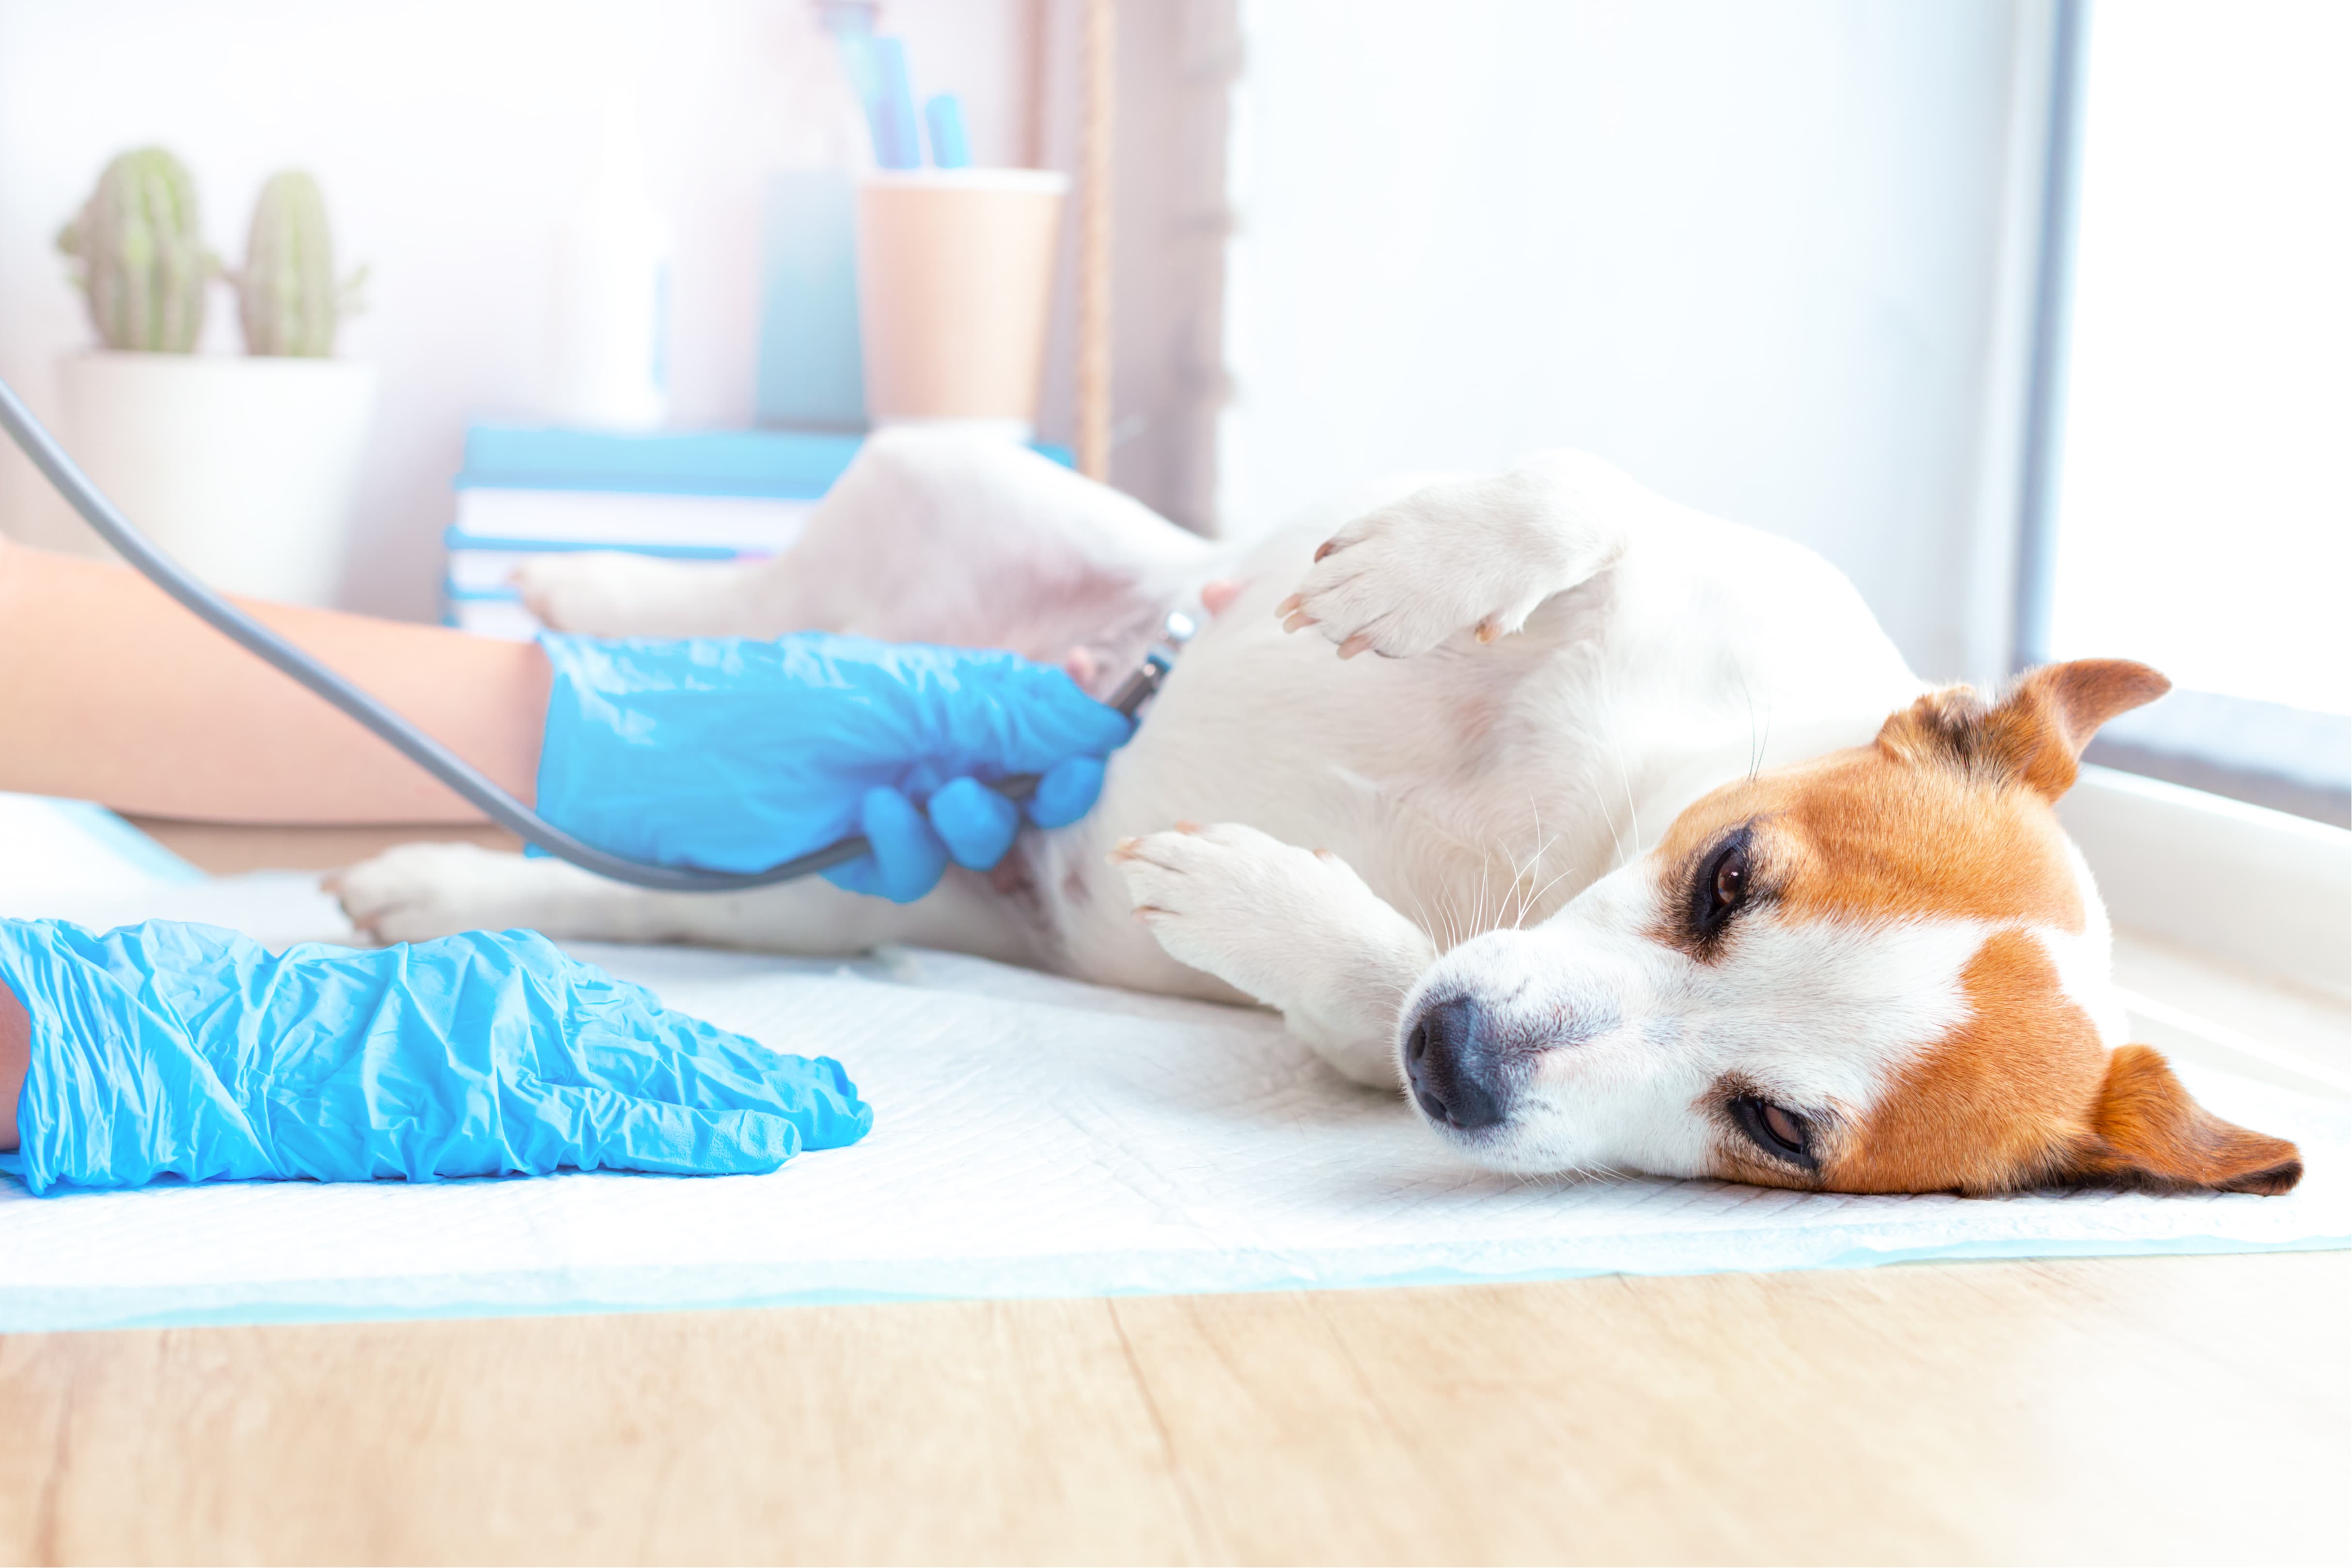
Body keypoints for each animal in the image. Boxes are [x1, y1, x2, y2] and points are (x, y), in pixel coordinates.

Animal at [341, 435, 2305, 1194]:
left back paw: (449, 877)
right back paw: (585, 582)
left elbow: (1365, 988)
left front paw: (1268, 911)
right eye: (1728, 874)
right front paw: (1426, 570)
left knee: (677, 881)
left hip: (846, 891)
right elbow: (1581, 495)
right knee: (759, 584)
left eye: (1775, 1127)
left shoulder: (1399, 1018)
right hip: (960, 477)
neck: (1591, 821)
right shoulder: (1716, 566)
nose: (1467, 1064)